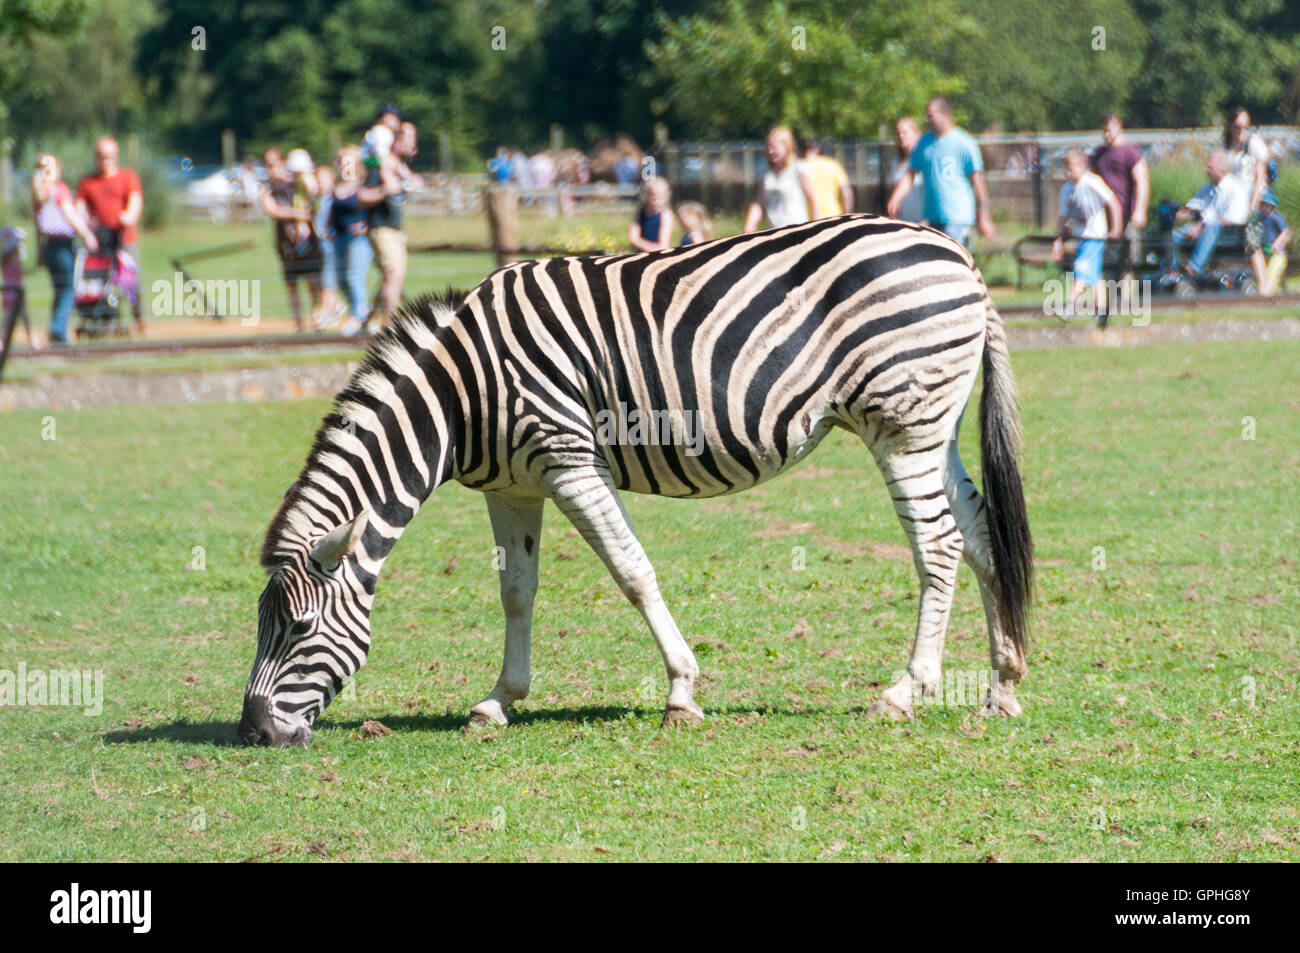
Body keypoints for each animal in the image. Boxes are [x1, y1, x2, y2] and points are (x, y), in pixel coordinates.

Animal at [239, 211, 1029, 748]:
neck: (459, 394)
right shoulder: (512, 486)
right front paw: (498, 700)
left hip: (902, 423)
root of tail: (961, 255)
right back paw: (1002, 685)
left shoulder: (570, 459)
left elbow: (631, 570)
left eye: (299, 627)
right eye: (260, 625)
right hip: (933, 428)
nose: (253, 732)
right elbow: (516, 590)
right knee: (980, 532)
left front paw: (681, 691)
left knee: (938, 545)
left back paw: (907, 690)